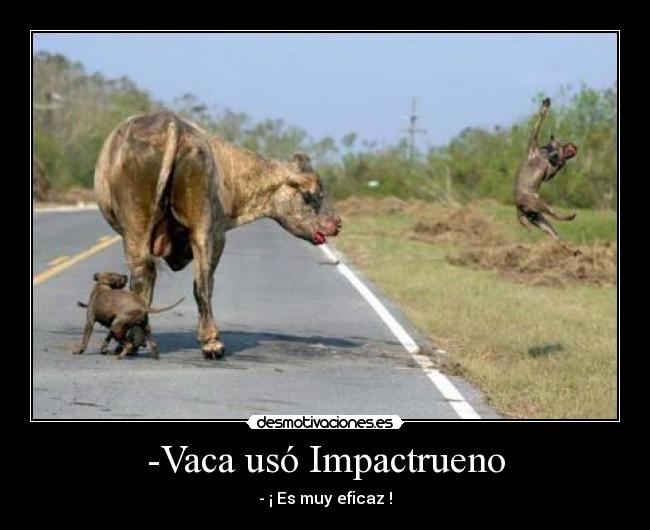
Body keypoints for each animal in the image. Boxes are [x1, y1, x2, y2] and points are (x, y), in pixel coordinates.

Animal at [94, 111, 342, 359]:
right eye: (317, 194)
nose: (338, 222)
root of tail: (171, 122)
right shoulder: (219, 233)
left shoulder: (216, 233)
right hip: (189, 227)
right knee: (195, 282)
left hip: (147, 227)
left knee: (156, 276)